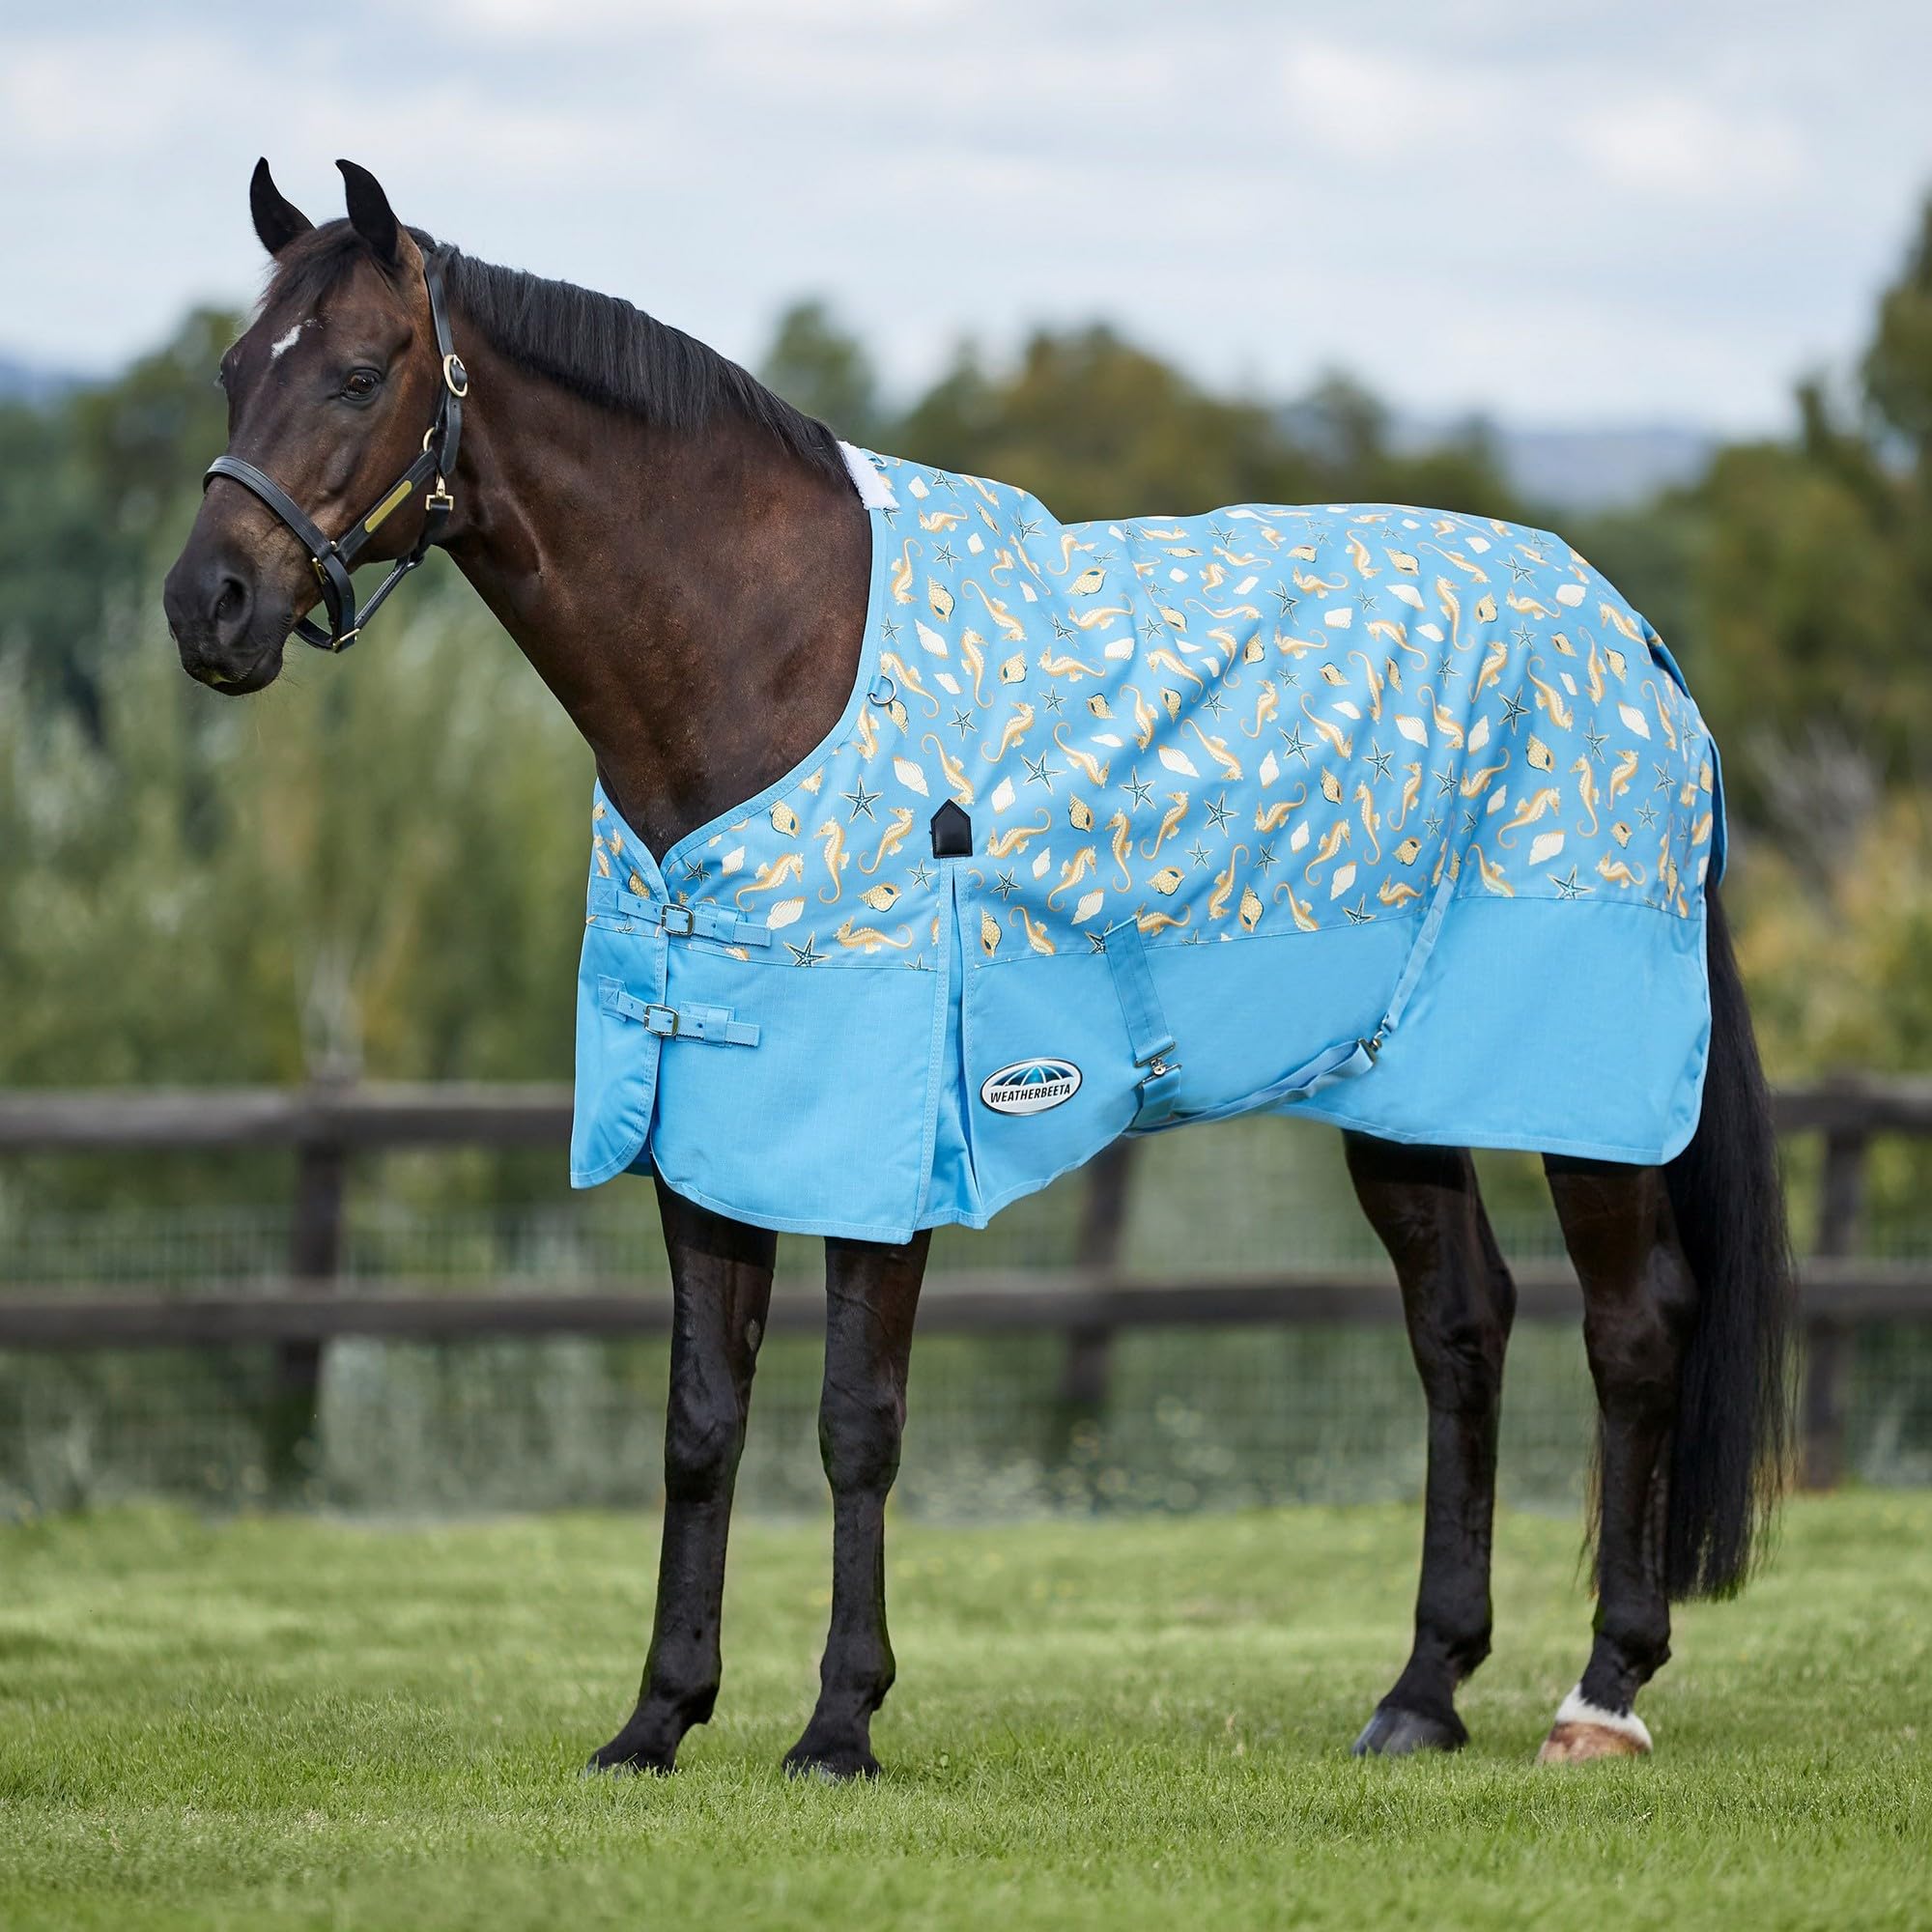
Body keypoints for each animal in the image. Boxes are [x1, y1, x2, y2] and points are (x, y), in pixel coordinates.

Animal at [164, 159, 1792, 1778]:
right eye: (237, 369)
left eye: (362, 371)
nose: (207, 607)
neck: (769, 654)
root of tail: (1638, 644)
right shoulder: (708, 1112)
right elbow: (701, 1422)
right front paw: (657, 1717)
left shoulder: (888, 1132)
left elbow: (854, 1423)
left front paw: (838, 1723)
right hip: (1397, 1091)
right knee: (1461, 1330)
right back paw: (1422, 1693)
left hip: (1582, 1090)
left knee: (1635, 1327)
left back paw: (1602, 1695)